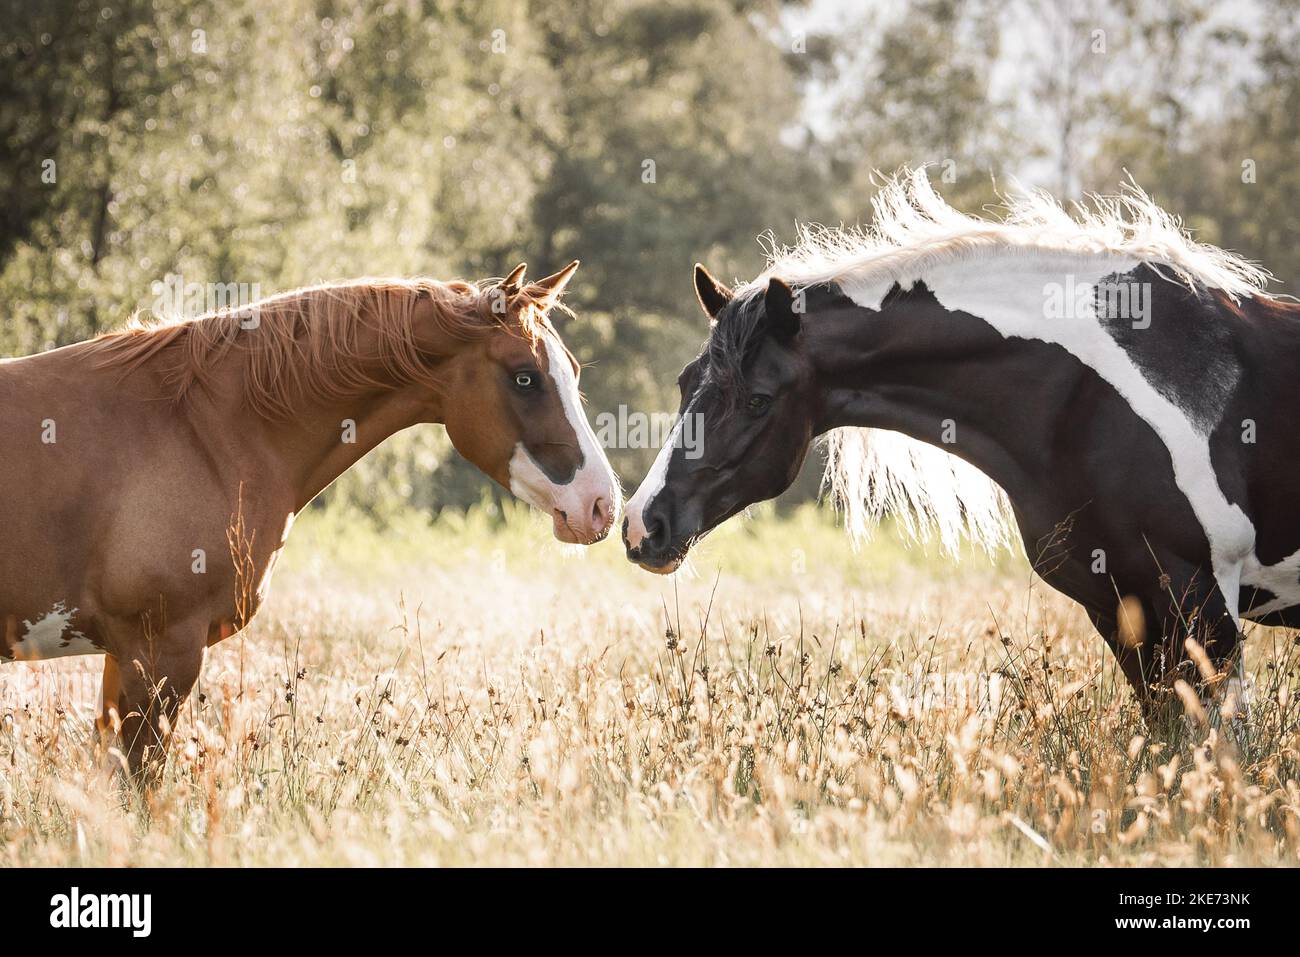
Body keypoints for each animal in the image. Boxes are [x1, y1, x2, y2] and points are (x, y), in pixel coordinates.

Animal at [0, 261, 619, 774]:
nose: (601, 504)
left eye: (572, 371)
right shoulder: (157, 650)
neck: (202, 428)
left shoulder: (124, 655)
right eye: (524, 377)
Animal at [623, 169, 1300, 720]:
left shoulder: (1204, 604)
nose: (642, 525)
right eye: (685, 382)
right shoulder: (1121, 610)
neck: (1091, 397)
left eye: (759, 400)